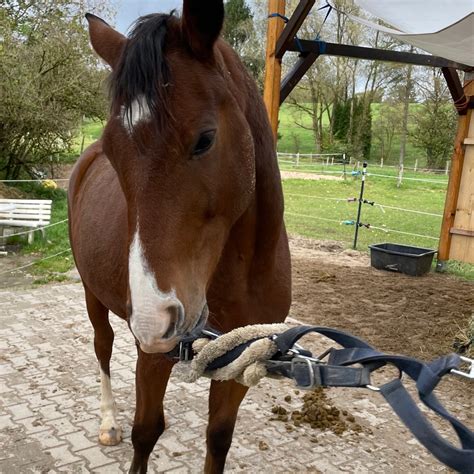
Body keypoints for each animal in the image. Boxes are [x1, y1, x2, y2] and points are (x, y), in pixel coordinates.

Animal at [68, 1, 290, 472]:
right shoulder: (153, 356)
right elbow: (145, 432)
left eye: (204, 140)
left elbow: (218, 438)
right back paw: (108, 422)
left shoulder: (239, 368)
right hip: (92, 295)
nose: (155, 318)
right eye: (113, 151)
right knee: (102, 347)